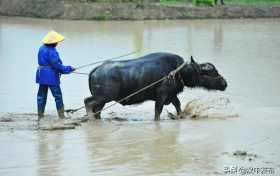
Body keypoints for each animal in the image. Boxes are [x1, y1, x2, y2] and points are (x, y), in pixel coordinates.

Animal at [83, 52, 228, 120]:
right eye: (213, 72)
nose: (225, 83)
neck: (178, 71)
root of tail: (97, 69)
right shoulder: (161, 97)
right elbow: (158, 112)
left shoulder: (172, 95)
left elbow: (178, 105)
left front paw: (181, 116)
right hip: (103, 97)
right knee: (87, 102)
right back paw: (89, 118)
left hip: (103, 100)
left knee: (97, 110)